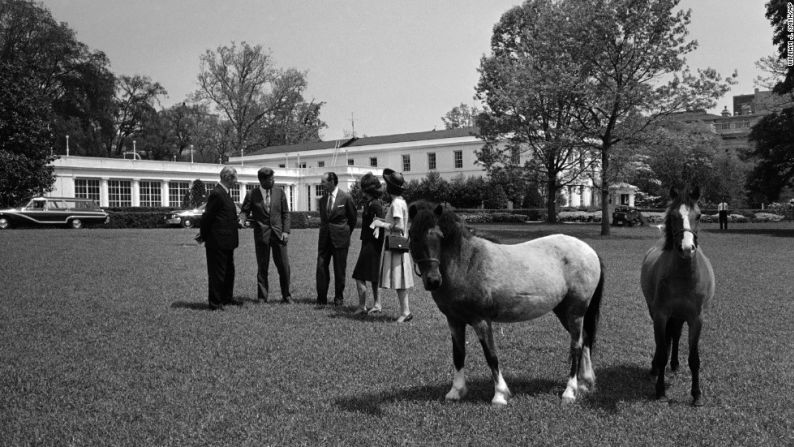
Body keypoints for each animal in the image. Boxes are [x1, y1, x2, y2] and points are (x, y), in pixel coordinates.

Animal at [406, 203, 604, 406]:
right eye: (412, 235)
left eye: (439, 236)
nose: (433, 281)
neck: (467, 263)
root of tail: (589, 250)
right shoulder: (454, 321)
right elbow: (458, 354)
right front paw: (456, 391)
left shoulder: (481, 321)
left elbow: (491, 355)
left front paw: (500, 395)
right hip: (563, 311)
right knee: (585, 339)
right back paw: (585, 383)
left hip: (575, 312)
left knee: (576, 346)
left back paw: (570, 391)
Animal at [640, 186, 716, 406]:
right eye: (674, 216)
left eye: (699, 215)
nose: (687, 248)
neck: (683, 276)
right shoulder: (661, 315)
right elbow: (661, 349)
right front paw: (660, 390)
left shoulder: (696, 319)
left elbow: (694, 358)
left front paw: (696, 394)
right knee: (666, 340)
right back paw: (657, 368)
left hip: (680, 316)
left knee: (675, 335)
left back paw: (674, 364)